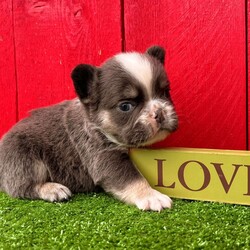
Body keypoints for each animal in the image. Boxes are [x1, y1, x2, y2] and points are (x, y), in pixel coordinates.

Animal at [0, 45, 178, 211]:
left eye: (165, 92)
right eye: (125, 106)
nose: (160, 113)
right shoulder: (105, 157)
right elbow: (132, 178)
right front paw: (151, 196)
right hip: (25, 159)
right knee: (22, 187)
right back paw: (52, 189)